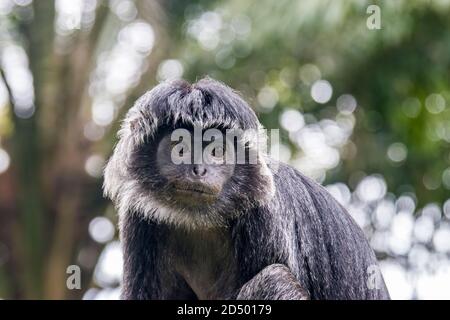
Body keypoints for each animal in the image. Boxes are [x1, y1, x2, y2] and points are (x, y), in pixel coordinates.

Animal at [103, 77, 390, 300]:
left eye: (216, 151)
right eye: (180, 148)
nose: (199, 170)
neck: (202, 220)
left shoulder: (267, 214)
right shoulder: (139, 217)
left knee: (274, 279)